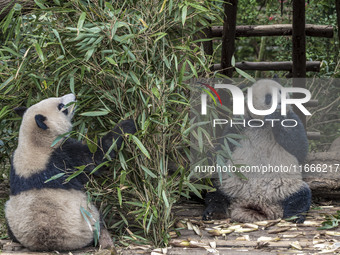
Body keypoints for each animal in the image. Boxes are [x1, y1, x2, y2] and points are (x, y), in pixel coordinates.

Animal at [4, 93, 136, 251]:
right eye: (62, 107)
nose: (73, 95)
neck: (34, 143)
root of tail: (50, 244)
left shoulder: (15, 165)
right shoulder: (63, 156)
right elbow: (96, 157)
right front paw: (128, 124)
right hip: (87, 219)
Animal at [203, 79, 312, 223]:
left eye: (280, 91)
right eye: (268, 97)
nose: (280, 104)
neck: (263, 122)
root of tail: (258, 203)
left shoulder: (291, 119)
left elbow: (298, 147)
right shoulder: (240, 124)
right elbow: (223, 148)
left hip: (285, 187)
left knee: (300, 196)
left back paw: (294, 217)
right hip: (229, 184)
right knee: (215, 192)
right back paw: (213, 213)